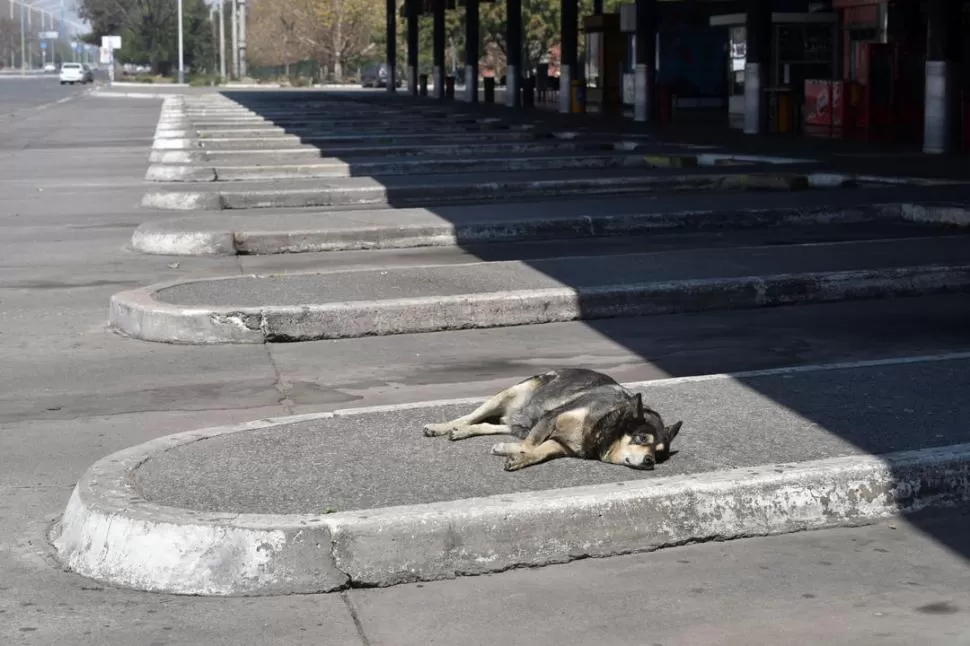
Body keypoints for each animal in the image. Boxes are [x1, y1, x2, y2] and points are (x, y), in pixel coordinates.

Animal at [424, 372, 680, 474]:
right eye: (642, 438)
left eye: (659, 455)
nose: (649, 462)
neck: (603, 422)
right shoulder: (551, 418)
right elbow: (530, 445)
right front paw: (512, 452)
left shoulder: (560, 444)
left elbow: (539, 451)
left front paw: (518, 457)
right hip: (508, 395)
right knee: (470, 416)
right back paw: (443, 427)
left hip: (520, 425)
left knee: (488, 426)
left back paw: (462, 431)